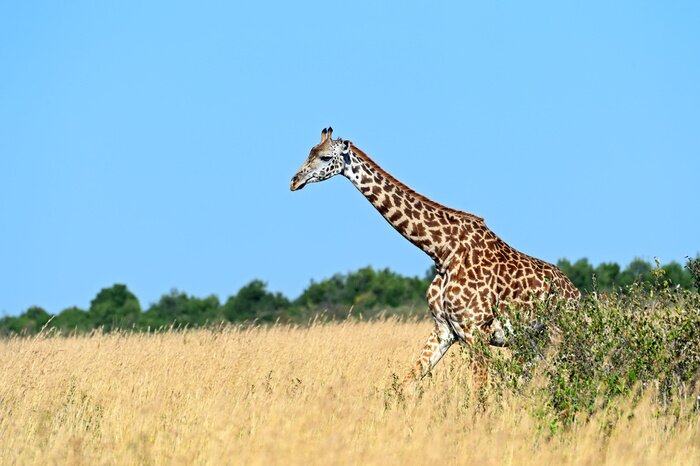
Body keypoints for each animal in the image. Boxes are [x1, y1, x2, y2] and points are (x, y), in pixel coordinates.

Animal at [290, 127, 580, 383]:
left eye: (325, 157)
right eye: (309, 152)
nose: (294, 181)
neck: (441, 251)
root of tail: (575, 293)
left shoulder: (476, 332)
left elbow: (480, 396)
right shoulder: (444, 329)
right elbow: (408, 382)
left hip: (560, 334)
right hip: (535, 340)